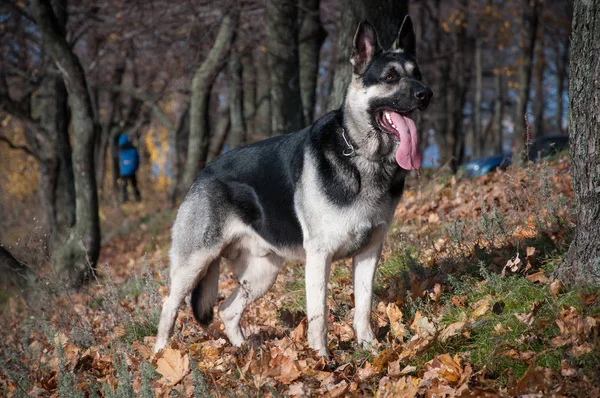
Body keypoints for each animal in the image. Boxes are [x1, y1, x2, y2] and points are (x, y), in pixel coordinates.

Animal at [156, 17, 432, 356]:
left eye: (417, 74)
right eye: (391, 77)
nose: (426, 94)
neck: (361, 155)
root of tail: (202, 173)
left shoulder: (369, 253)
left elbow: (363, 306)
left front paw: (370, 350)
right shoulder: (319, 257)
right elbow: (319, 316)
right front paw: (321, 359)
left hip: (263, 273)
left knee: (227, 309)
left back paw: (246, 352)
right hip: (194, 263)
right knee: (169, 307)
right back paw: (159, 356)